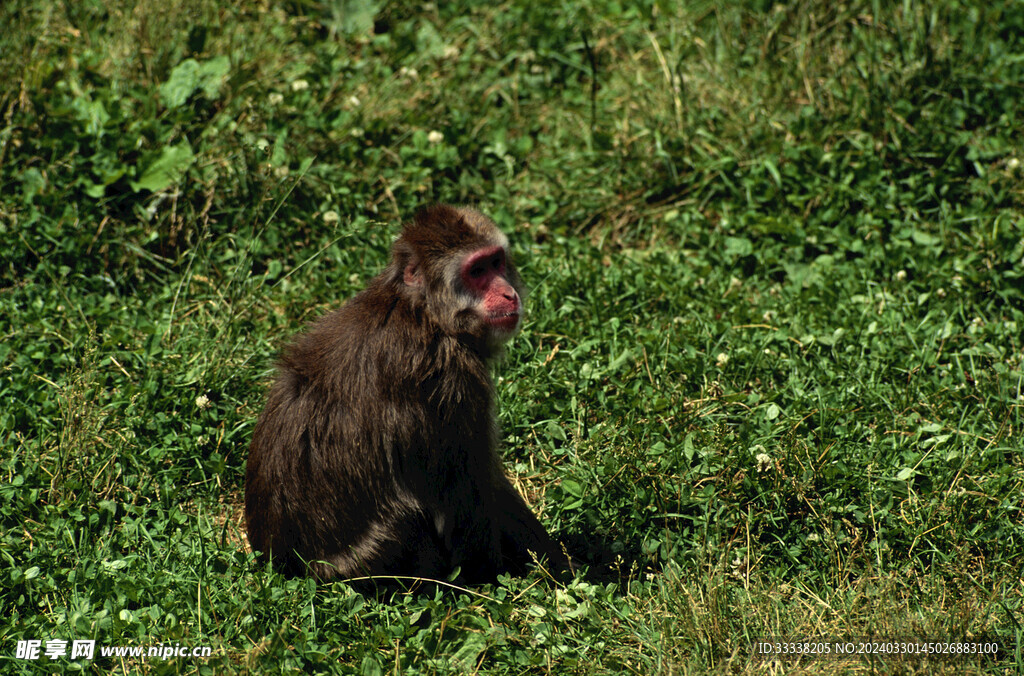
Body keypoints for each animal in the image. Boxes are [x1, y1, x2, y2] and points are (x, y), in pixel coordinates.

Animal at [244, 203, 573, 581]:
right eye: (476, 271)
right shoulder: (454, 381)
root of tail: (286, 563)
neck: (426, 312)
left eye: (496, 262)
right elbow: (468, 498)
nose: (509, 293)